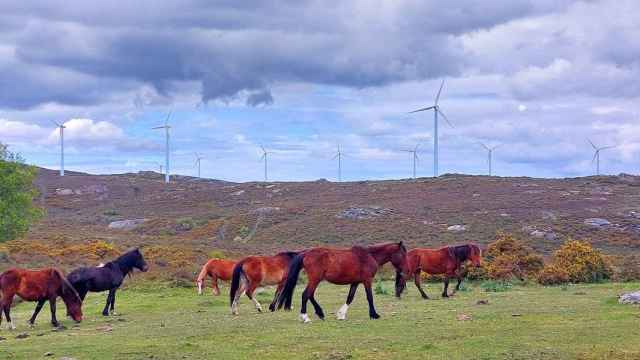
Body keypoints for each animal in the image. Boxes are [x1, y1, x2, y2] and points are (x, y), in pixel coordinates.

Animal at [276, 242, 408, 324]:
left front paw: (341, 315)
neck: (370, 256)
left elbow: (350, 297)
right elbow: (369, 297)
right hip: (315, 279)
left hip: (315, 280)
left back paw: (320, 313)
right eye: (402, 254)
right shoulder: (367, 281)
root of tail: (306, 253)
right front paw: (374, 315)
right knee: (306, 295)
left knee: (310, 295)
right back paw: (305, 317)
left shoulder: (355, 282)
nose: (405, 270)